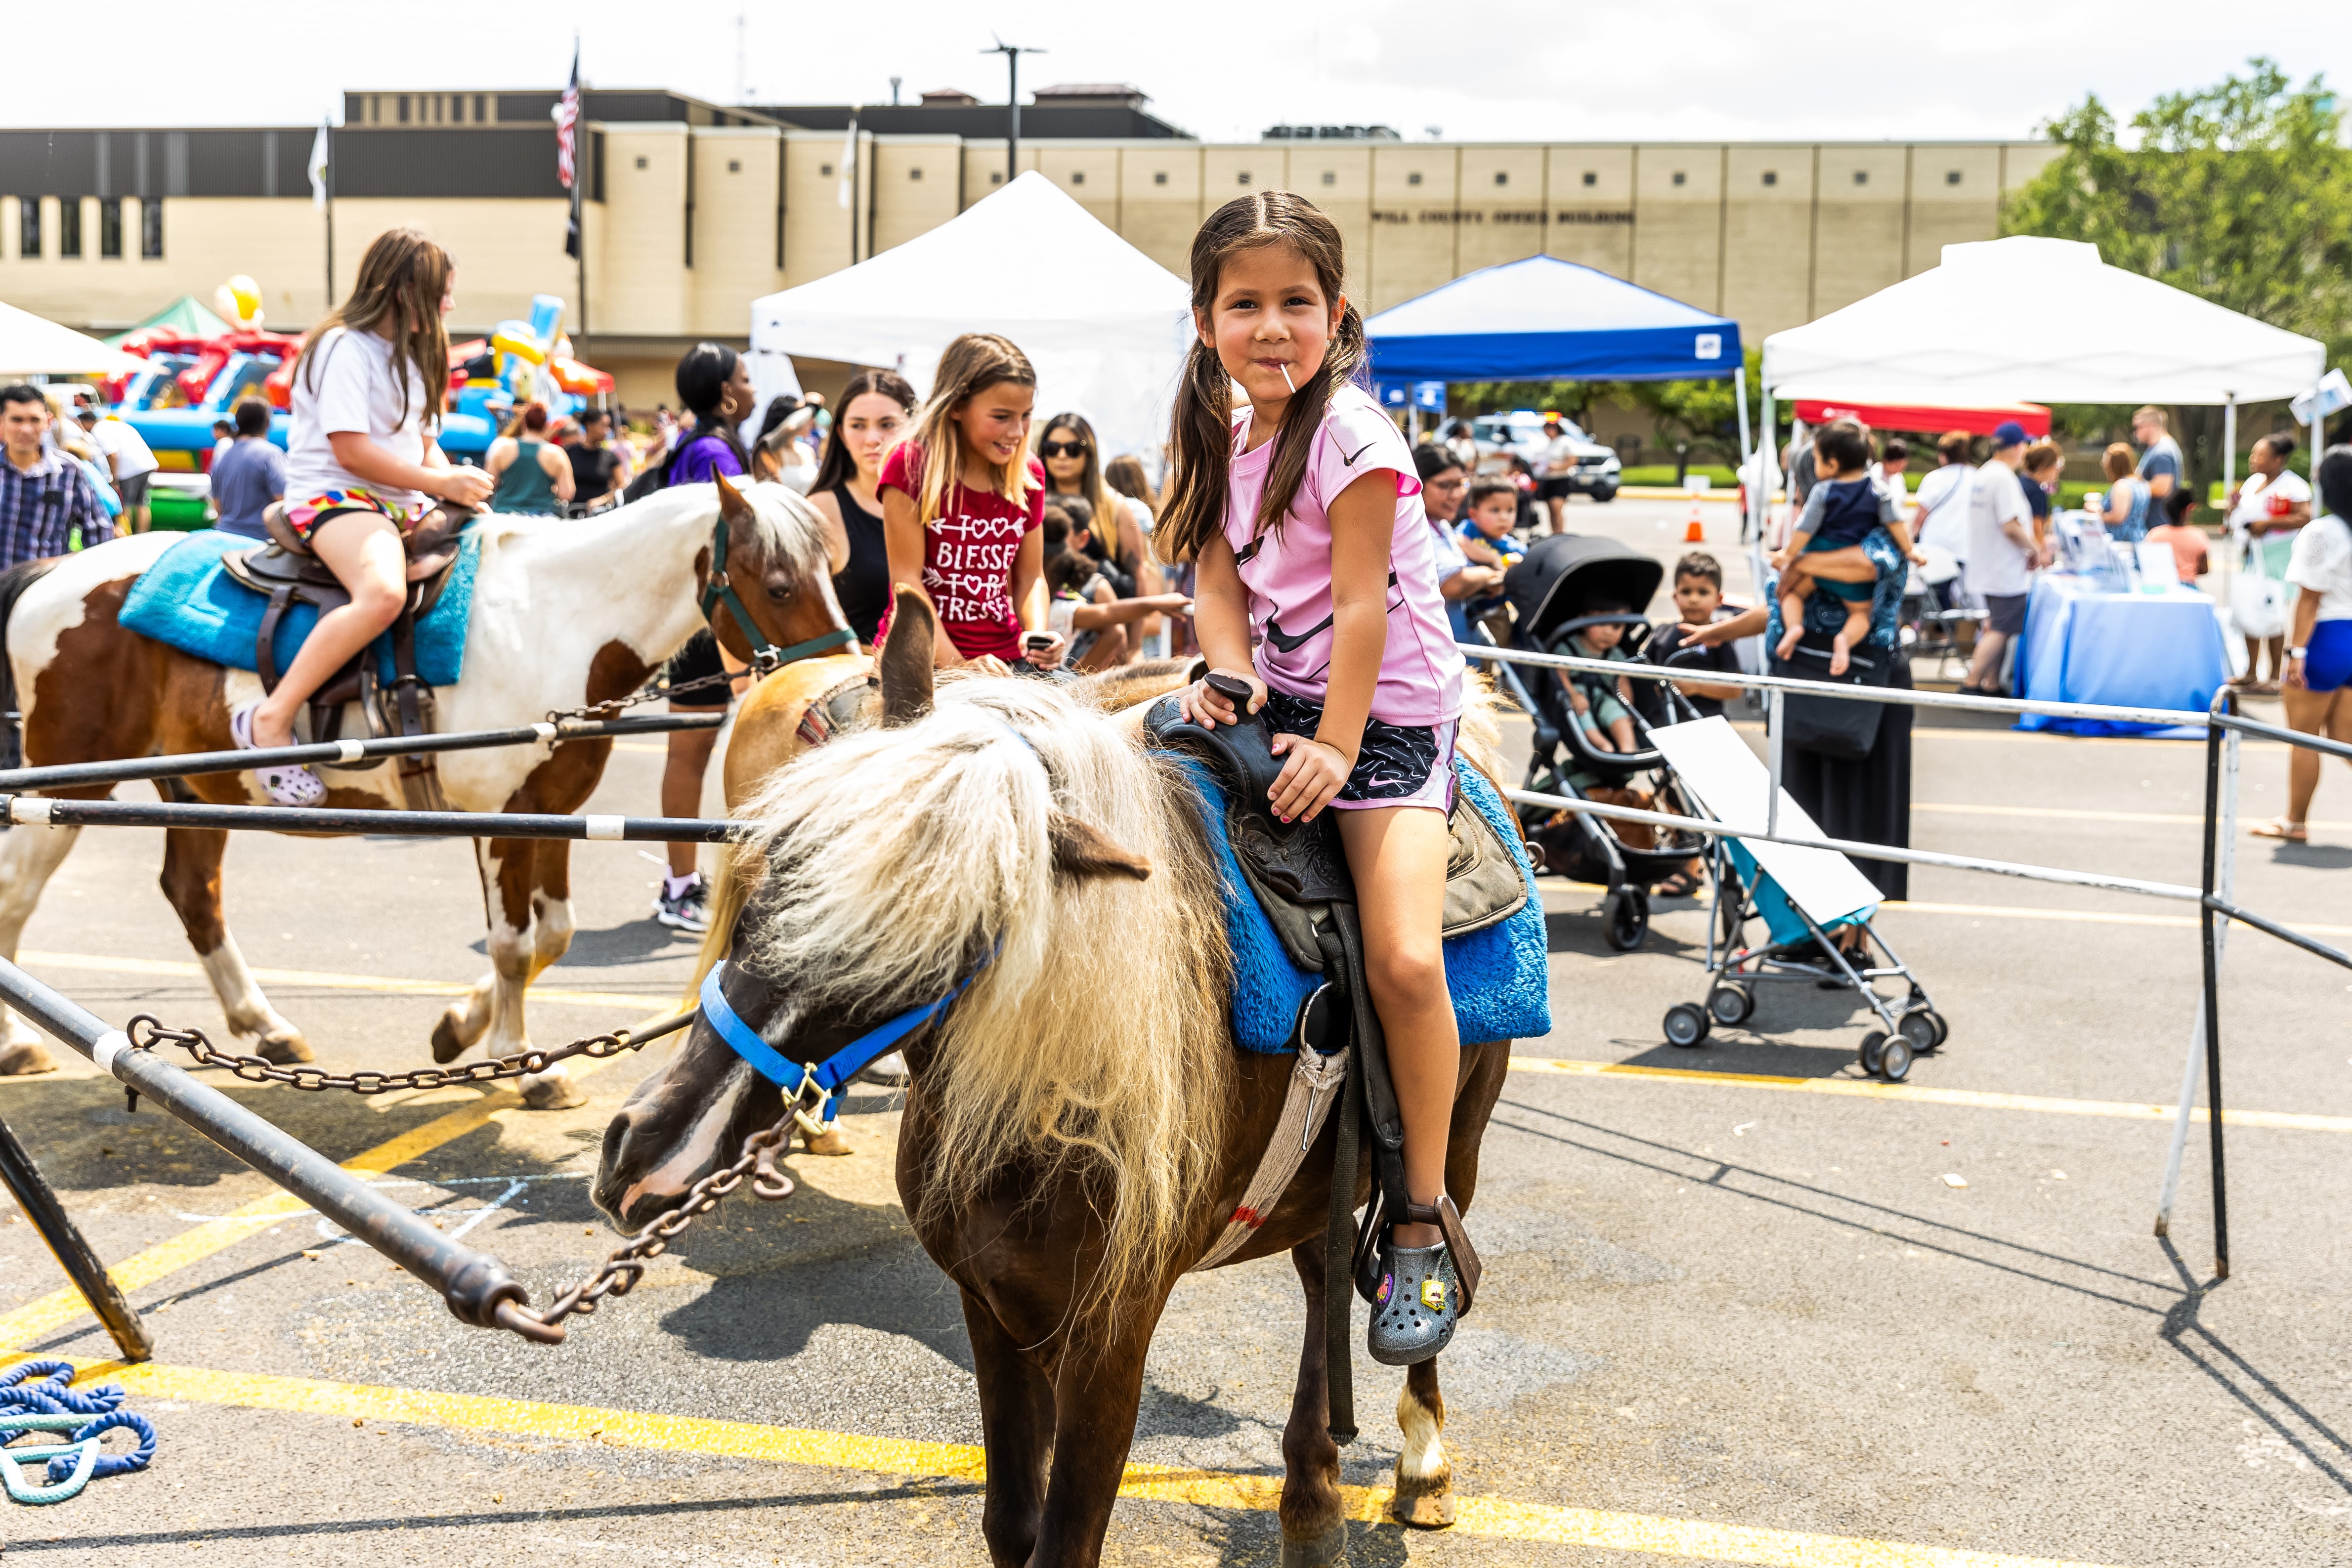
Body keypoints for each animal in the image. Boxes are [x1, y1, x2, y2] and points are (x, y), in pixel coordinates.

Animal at [0, 479, 847, 1104]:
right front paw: (523, 1063)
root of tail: (52, 573)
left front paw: (461, 1029)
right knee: (18, 892)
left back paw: (267, 1027)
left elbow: (556, 934)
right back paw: (20, 1042)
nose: (833, 675)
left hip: (199, 789)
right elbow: (513, 944)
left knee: (193, 892)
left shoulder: (555, 813)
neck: (552, 623)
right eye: (778, 585)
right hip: (65, 786)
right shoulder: (499, 818)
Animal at [588, 594, 1505, 1561]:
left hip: (1454, 1147)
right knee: (1323, 1279)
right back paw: (1314, 1500)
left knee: (1420, 1239)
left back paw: (1422, 1461)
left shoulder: (1109, 1338)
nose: (655, 1154)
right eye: (781, 858)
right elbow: (1011, 1523)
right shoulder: (991, 1310)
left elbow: (1064, 1536)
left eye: (949, 944)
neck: (1049, 1109)